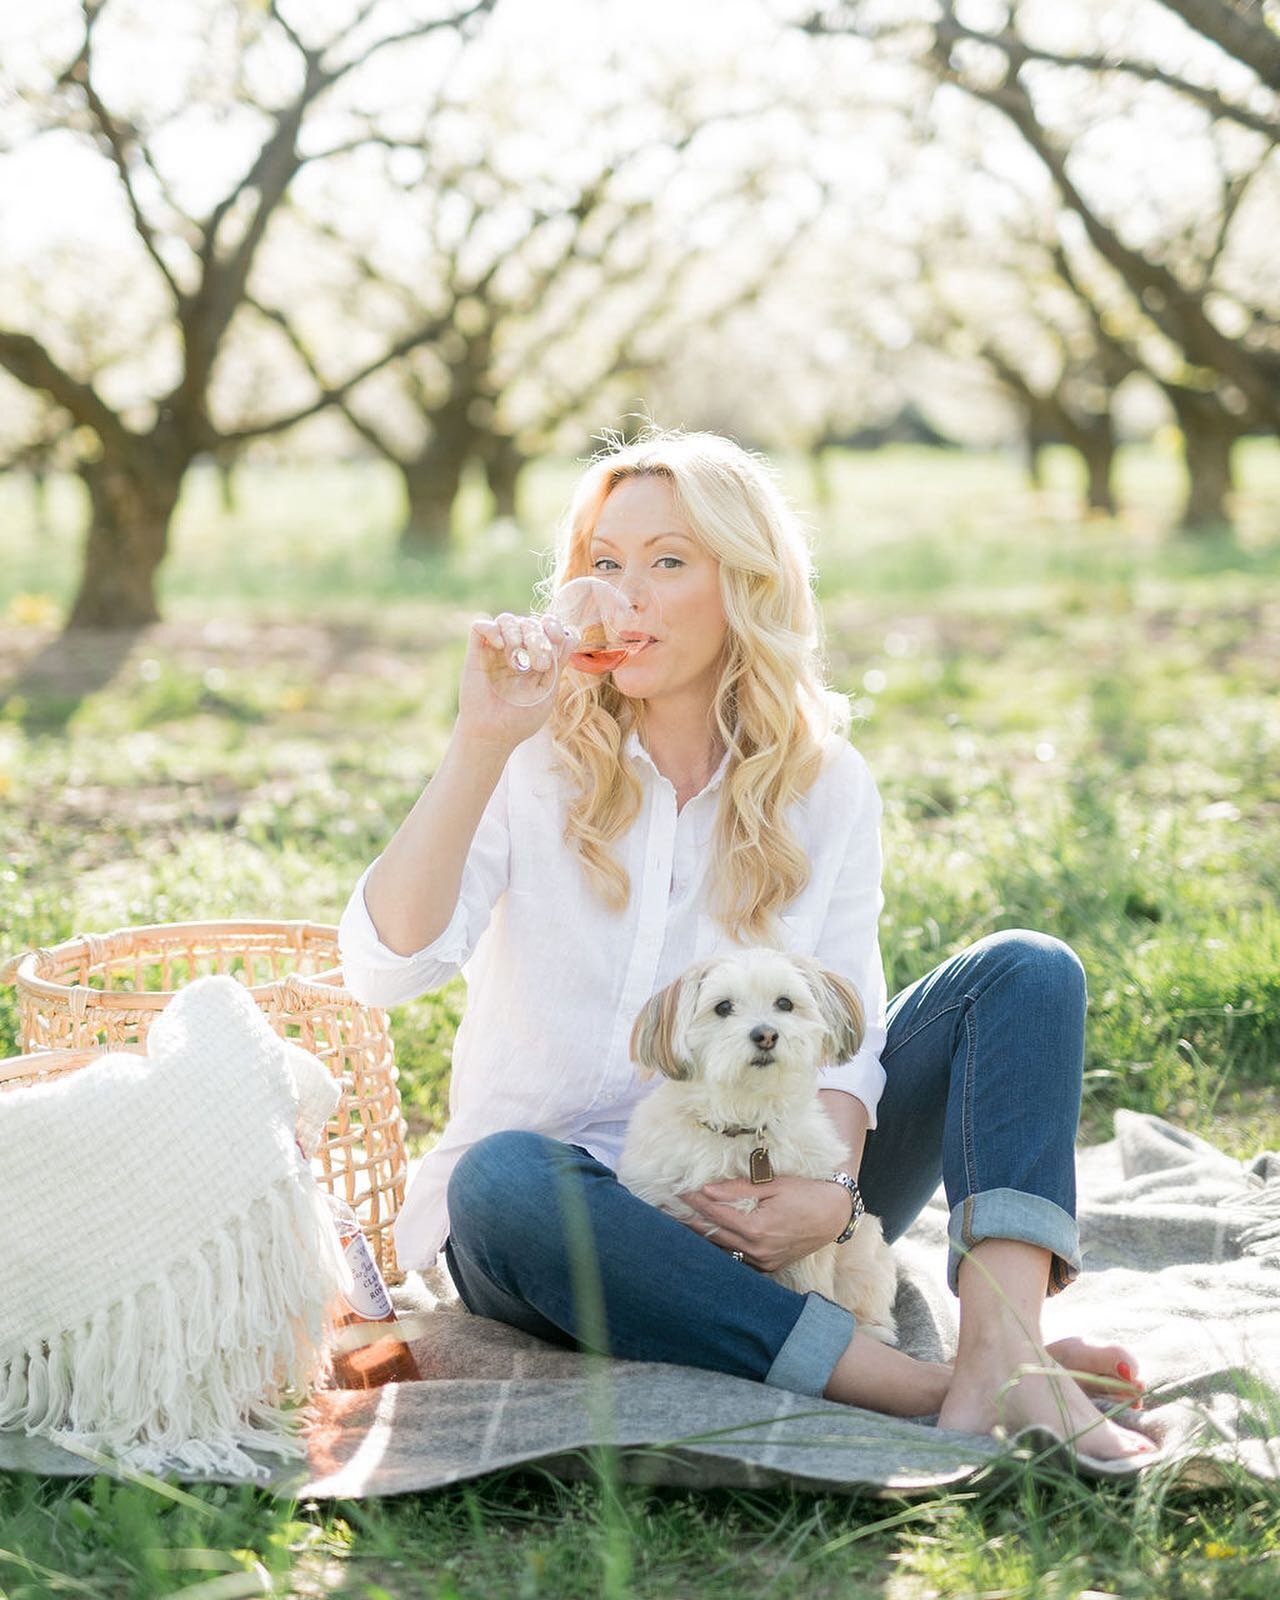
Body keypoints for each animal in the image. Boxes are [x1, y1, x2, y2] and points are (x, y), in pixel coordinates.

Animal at [611, 940, 896, 1344]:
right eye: (723, 1007)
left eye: (785, 1003)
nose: (766, 1034)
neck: (744, 1120)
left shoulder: (807, 1234)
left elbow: (813, 1288)